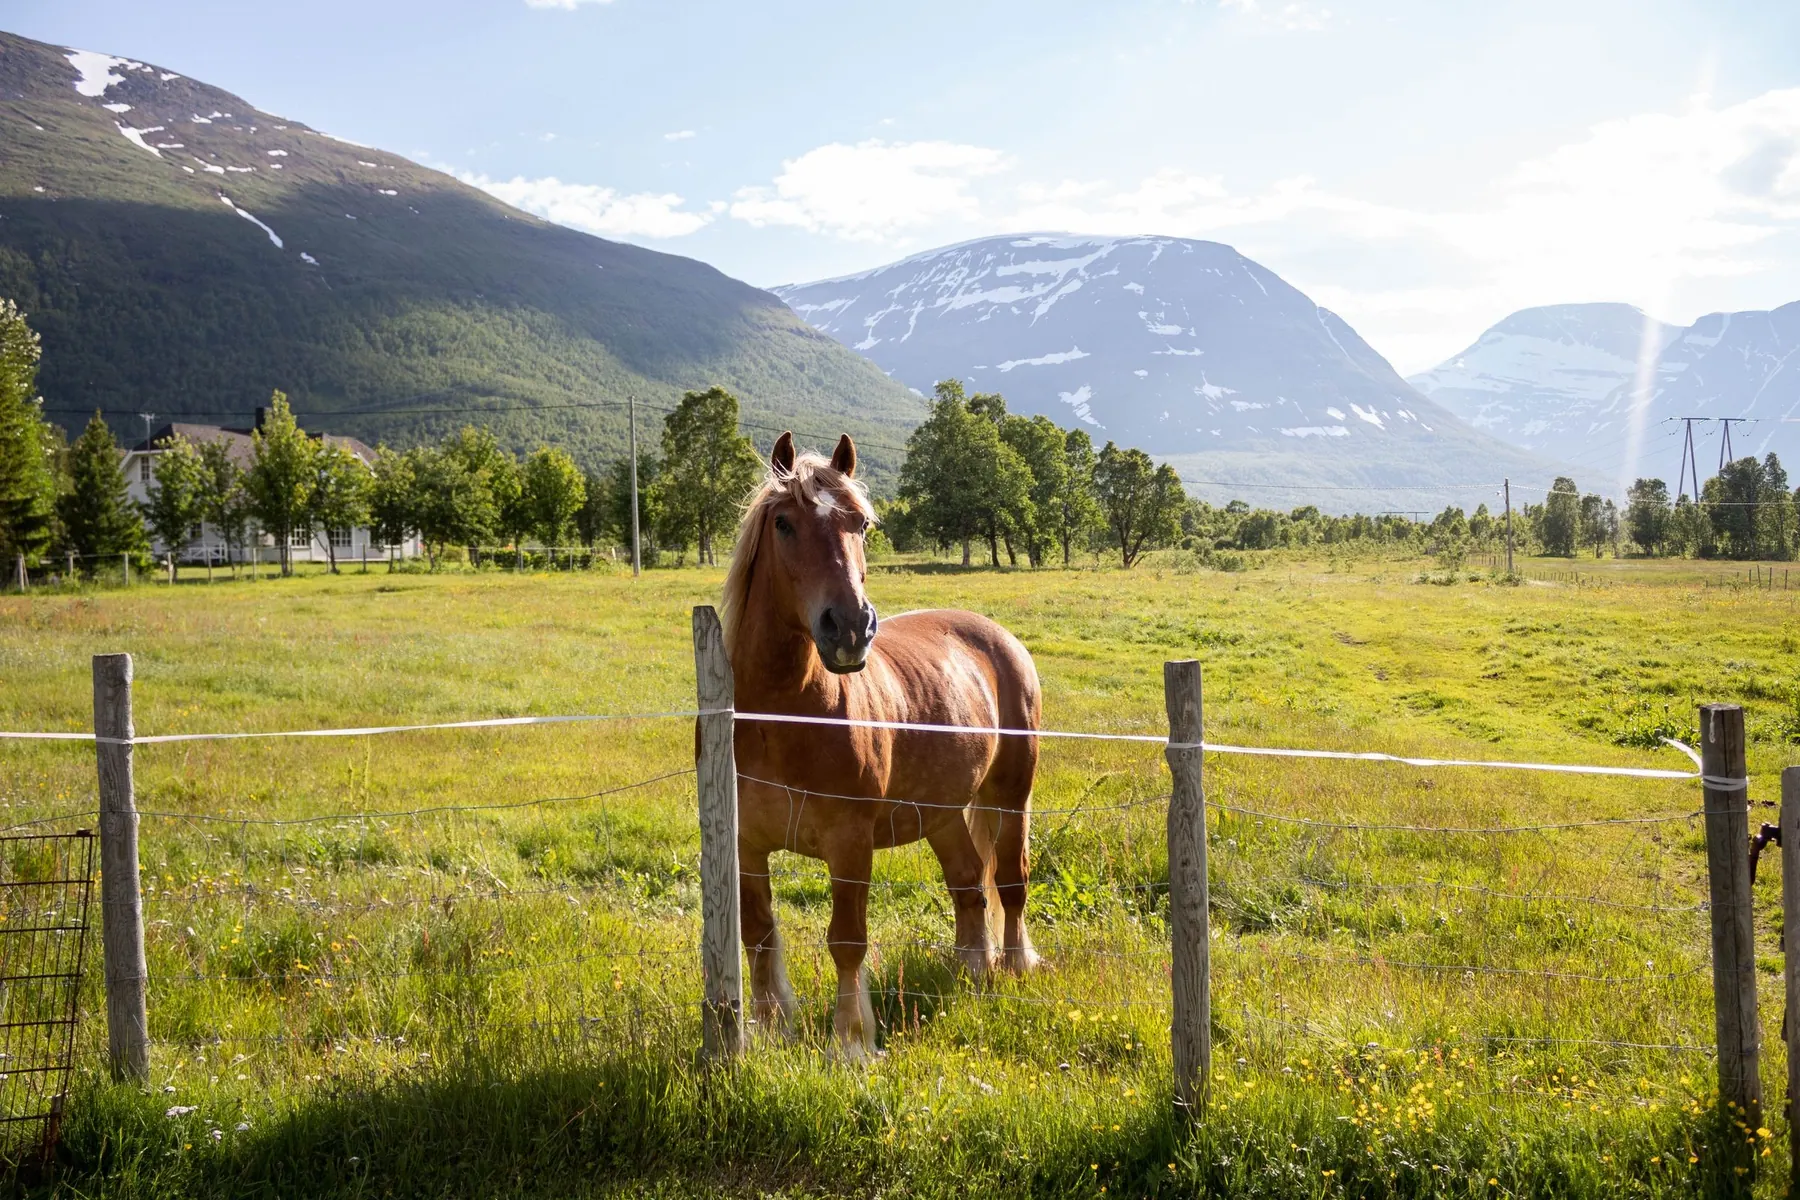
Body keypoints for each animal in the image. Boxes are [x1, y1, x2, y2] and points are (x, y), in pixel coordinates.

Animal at [721, 431, 1043, 1058]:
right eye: (784, 523)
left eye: (863, 523)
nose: (849, 628)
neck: (779, 716)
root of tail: (999, 636)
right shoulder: (747, 844)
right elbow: (758, 934)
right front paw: (770, 1028)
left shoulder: (850, 844)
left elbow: (847, 939)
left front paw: (850, 1041)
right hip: (942, 812)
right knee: (968, 882)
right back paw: (971, 968)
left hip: (1010, 796)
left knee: (1010, 880)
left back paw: (1015, 965)